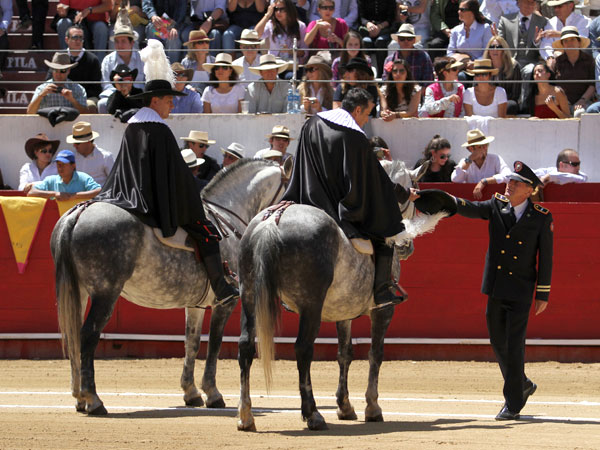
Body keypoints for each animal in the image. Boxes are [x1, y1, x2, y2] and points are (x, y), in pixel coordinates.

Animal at [51, 158, 290, 414]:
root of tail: (78, 213)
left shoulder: (195, 305)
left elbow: (191, 343)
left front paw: (191, 392)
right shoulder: (225, 303)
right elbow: (214, 344)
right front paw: (213, 394)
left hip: (79, 292)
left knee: (74, 335)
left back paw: (79, 397)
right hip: (105, 294)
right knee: (88, 335)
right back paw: (93, 399)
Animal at [237, 160, 442, 430]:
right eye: (412, 195)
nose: (407, 247)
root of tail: (272, 222)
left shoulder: (343, 311)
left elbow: (345, 354)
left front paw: (345, 406)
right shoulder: (383, 310)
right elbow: (376, 353)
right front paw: (372, 407)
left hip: (249, 296)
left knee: (246, 346)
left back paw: (246, 415)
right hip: (310, 306)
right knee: (303, 349)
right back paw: (312, 414)